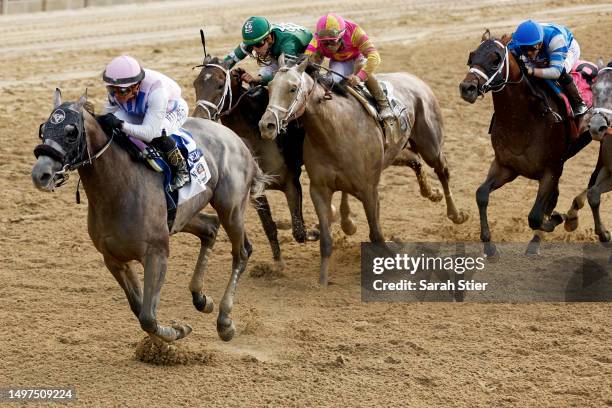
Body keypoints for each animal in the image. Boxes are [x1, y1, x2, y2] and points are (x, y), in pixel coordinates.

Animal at [30, 88, 266, 342]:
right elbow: (138, 307)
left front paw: (177, 330)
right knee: (210, 228)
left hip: (230, 208)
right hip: (181, 216)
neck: (117, 189)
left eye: (71, 132)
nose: (40, 174)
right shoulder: (114, 259)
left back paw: (225, 321)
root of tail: (236, 138)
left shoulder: (156, 253)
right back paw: (201, 299)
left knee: (241, 252)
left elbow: (148, 317)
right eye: (44, 129)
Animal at [191, 55, 316, 270]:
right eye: (196, 83)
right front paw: (278, 264)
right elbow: (269, 226)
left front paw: (316, 232)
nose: (200, 117)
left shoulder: (291, 182)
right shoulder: (257, 190)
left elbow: (299, 231)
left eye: (220, 84)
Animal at [256, 55, 464, 286]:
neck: (334, 130)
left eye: (292, 88)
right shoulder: (319, 190)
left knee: (442, 170)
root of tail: (414, 79)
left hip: (430, 146)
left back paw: (455, 214)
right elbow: (326, 239)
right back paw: (431, 193)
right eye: (269, 87)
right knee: (414, 160)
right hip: (394, 153)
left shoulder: (369, 190)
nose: (266, 125)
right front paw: (322, 280)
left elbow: (376, 235)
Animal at [460, 31, 592, 256]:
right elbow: (481, 194)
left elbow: (536, 216)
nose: (466, 88)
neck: (522, 120)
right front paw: (489, 245)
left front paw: (558, 220)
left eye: (495, 60)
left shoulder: (551, 170)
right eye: (471, 57)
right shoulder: (506, 166)